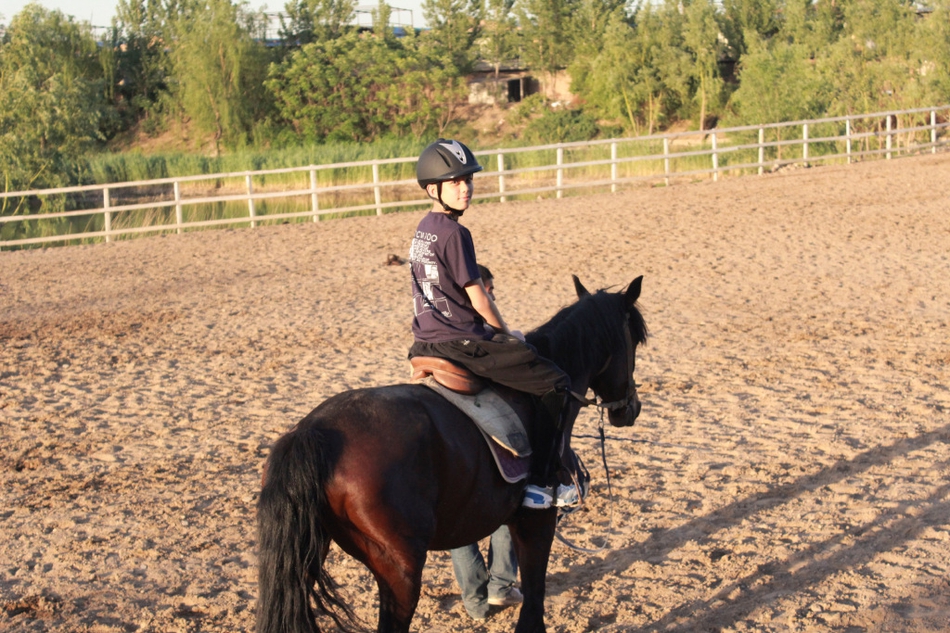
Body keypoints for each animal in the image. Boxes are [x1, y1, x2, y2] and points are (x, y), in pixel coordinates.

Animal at [256, 276, 652, 632]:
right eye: (634, 341)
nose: (630, 408)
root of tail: (315, 431)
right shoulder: (536, 520)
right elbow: (534, 595)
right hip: (400, 567)